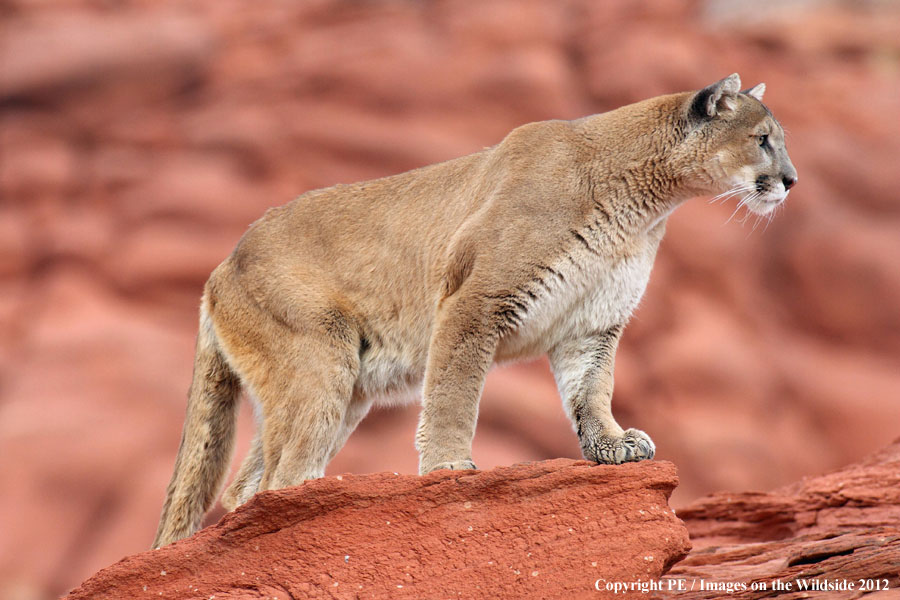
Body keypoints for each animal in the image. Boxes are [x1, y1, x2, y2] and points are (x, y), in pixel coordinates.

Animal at [151, 72, 800, 548]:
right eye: (763, 138)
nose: (791, 180)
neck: (641, 204)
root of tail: (222, 263)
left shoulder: (592, 324)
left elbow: (591, 391)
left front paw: (612, 445)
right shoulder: (475, 299)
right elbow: (455, 390)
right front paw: (448, 468)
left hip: (344, 384)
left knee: (246, 484)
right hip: (319, 362)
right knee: (276, 478)